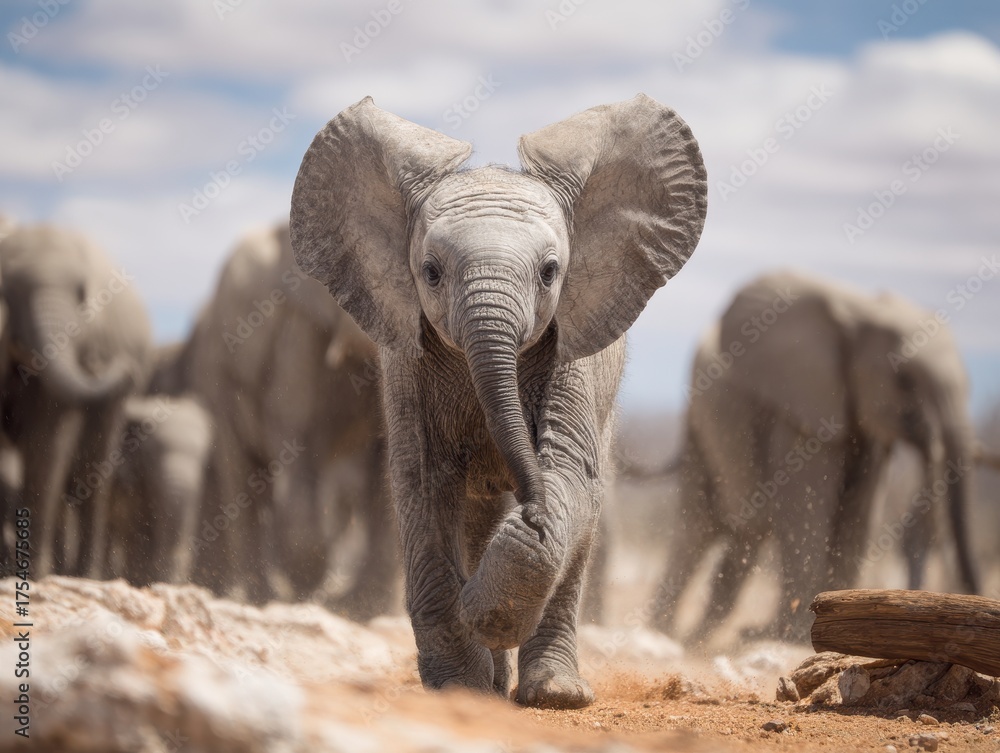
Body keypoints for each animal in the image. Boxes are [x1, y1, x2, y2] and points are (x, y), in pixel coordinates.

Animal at [0, 225, 151, 577]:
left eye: (82, 294)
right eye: (7, 290)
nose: (99, 361)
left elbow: (46, 442)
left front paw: (31, 575)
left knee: (92, 474)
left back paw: (83, 575)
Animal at [183, 222, 397, 617]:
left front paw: (360, 611)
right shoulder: (297, 331)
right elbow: (298, 439)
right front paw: (307, 588)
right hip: (216, 374)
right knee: (240, 471)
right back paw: (263, 597)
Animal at [290, 95, 707, 708]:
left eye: (551, 272)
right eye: (430, 273)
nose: (531, 508)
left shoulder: (574, 348)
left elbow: (569, 472)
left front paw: (491, 608)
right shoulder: (406, 361)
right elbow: (422, 485)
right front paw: (458, 685)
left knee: (582, 518)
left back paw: (553, 692)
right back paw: (493, 683)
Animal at [649, 271, 980, 644]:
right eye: (905, 379)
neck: (861, 311)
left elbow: (858, 515)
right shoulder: (802, 408)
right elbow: (805, 507)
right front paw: (791, 636)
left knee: (744, 532)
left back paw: (696, 640)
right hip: (697, 424)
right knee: (699, 526)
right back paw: (663, 635)